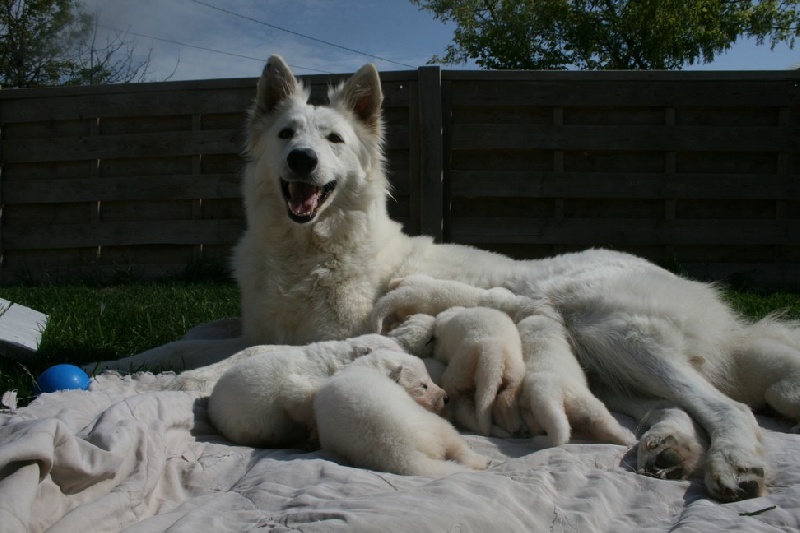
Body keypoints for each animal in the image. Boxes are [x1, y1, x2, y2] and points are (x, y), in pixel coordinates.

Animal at [314, 364, 490, 476]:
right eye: (424, 385)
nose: (446, 398)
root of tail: (400, 448)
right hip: (433, 424)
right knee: (455, 441)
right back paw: (481, 462)